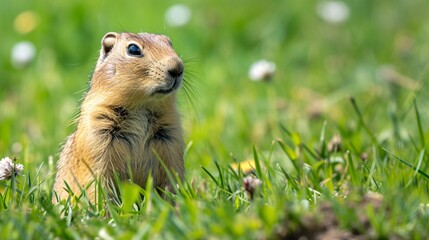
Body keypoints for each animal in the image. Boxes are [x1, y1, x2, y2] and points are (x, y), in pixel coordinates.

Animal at [52, 31, 185, 202]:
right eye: (133, 49)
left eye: (169, 43)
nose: (178, 67)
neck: (141, 106)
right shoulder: (97, 137)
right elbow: (97, 183)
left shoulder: (171, 140)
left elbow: (172, 179)